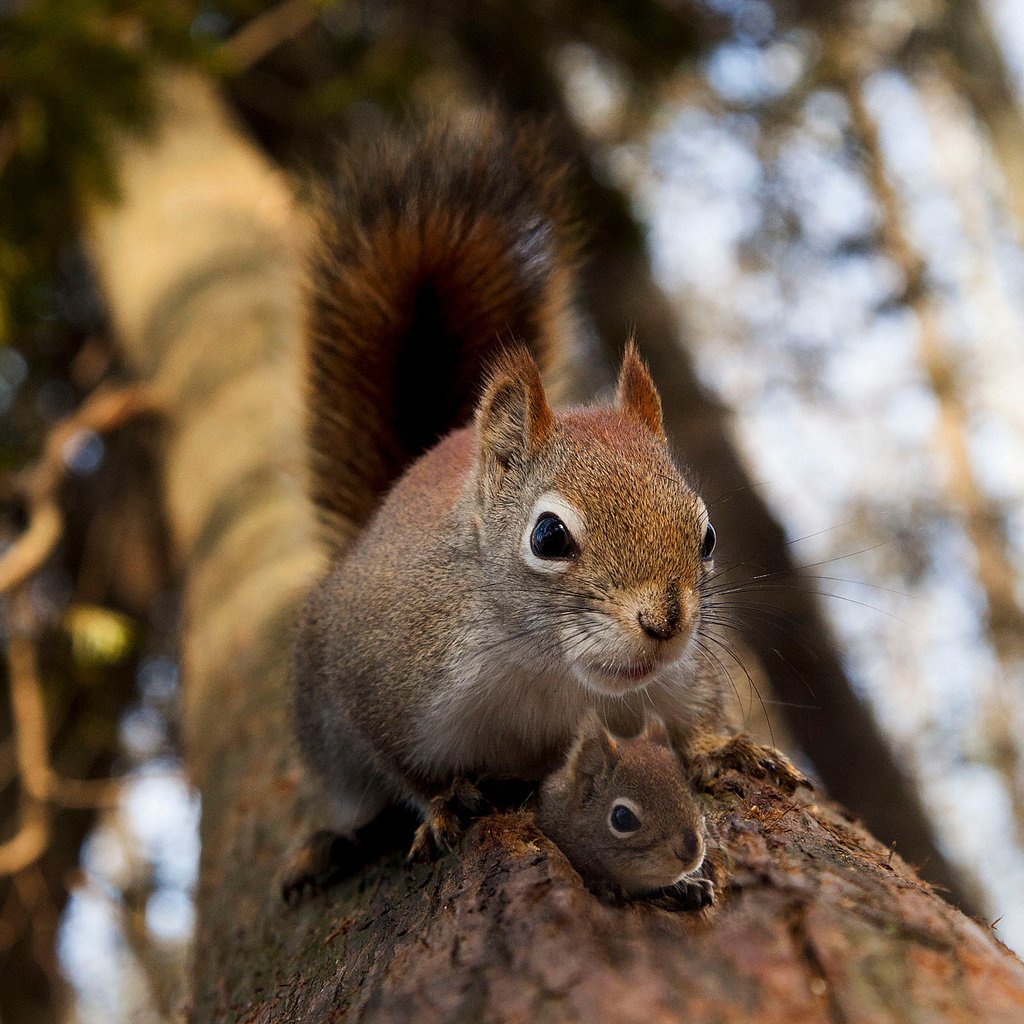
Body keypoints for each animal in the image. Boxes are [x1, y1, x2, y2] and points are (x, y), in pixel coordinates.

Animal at [290, 110, 774, 880]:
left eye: (707, 536)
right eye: (548, 536)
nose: (666, 623)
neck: (550, 667)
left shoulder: (674, 678)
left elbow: (690, 713)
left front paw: (717, 745)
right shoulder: (381, 679)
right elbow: (402, 766)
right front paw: (441, 806)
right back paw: (321, 843)